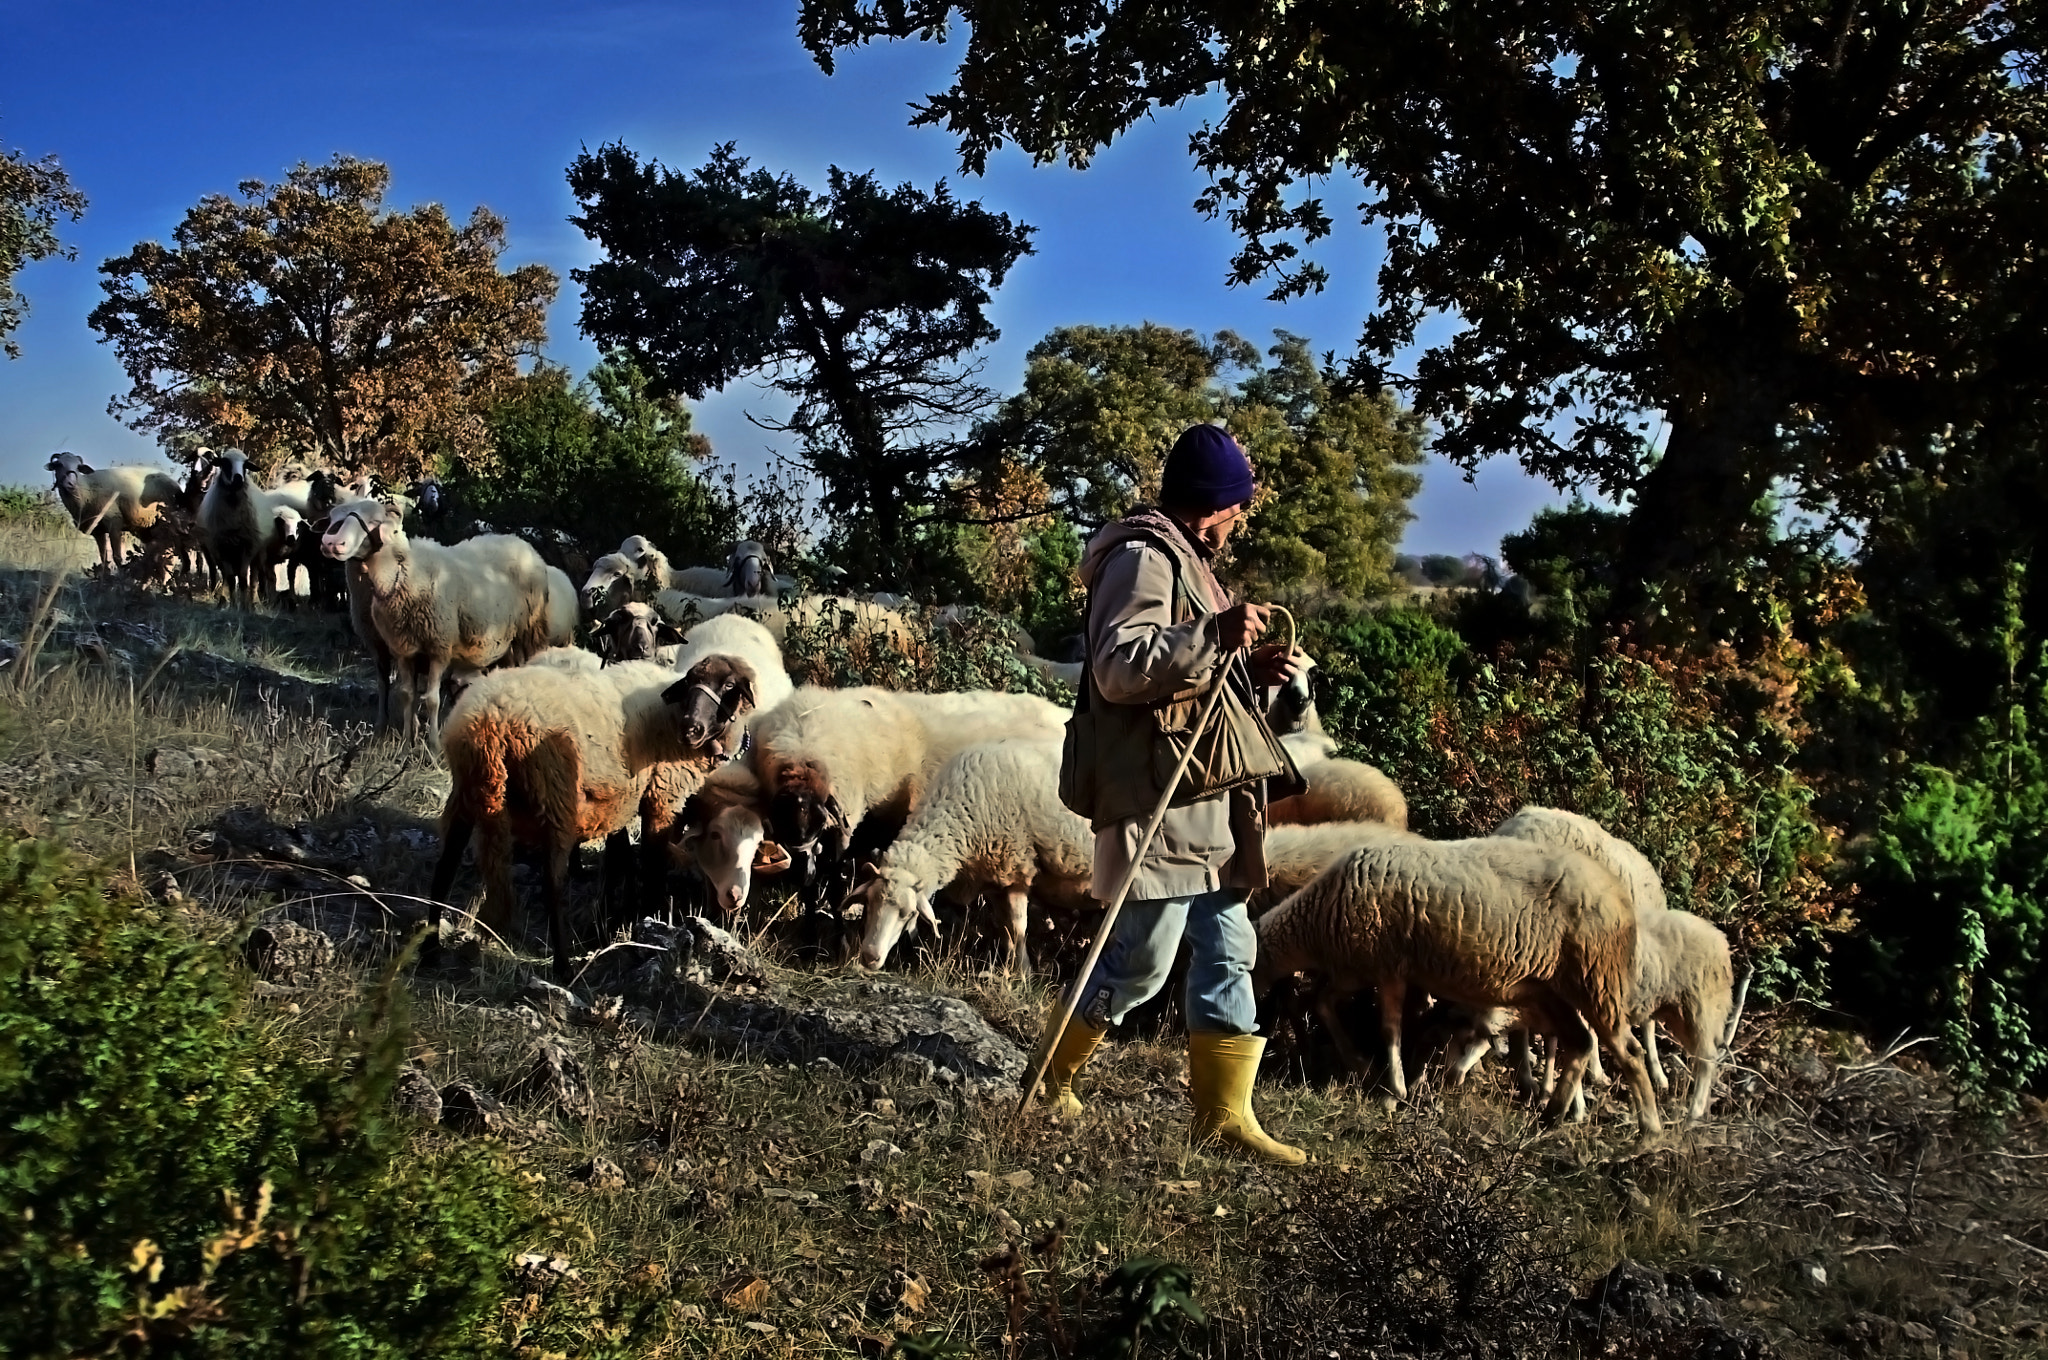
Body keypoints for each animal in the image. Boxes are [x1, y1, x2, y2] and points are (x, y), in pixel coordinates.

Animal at [47, 450, 185, 569]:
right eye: (58, 464)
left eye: (78, 467)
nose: (70, 484)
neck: (86, 491)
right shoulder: (98, 531)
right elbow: (103, 559)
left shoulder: (114, 522)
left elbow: (117, 557)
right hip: (148, 527)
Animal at [321, 493, 561, 737]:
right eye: (332, 517)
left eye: (373, 520)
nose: (331, 543)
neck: (408, 572)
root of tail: (521, 542)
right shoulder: (391, 645)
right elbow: (395, 688)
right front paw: (398, 732)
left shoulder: (437, 644)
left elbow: (428, 697)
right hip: (505, 643)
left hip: (529, 632)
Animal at [843, 733, 1097, 979]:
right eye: (869, 903)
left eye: (909, 914)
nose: (869, 957)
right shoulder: (996, 880)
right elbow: (1006, 931)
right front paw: (1014, 973)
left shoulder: (1017, 869)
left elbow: (1017, 930)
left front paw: (1024, 977)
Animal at [1245, 839, 1662, 1138]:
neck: (1318, 921)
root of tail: (1620, 894)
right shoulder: (1361, 969)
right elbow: (1324, 1002)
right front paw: (1366, 1067)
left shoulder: (1386, 966)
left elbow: (1388, 1028)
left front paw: (1392, 1090)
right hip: (1553, 990)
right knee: (1581, 1042)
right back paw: (1552, 1117)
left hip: (1597, 978)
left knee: (1628, 1051)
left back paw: (1649, 1130)